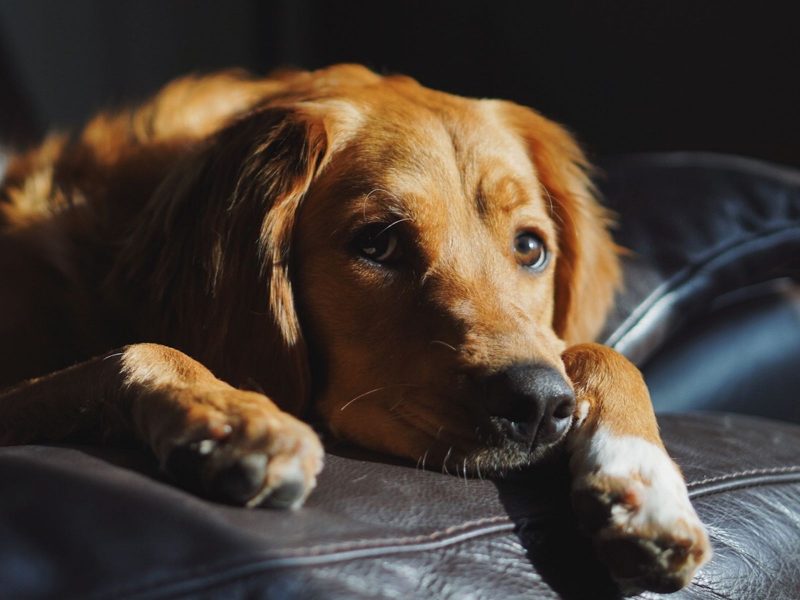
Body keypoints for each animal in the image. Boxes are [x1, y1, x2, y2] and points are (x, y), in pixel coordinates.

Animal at [0, 64, 712, 592]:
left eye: (531, 248)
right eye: (378, 244)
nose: (539, 405)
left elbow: (602, 354)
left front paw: (644, 485)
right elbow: (138, 348)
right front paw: (237, 417)